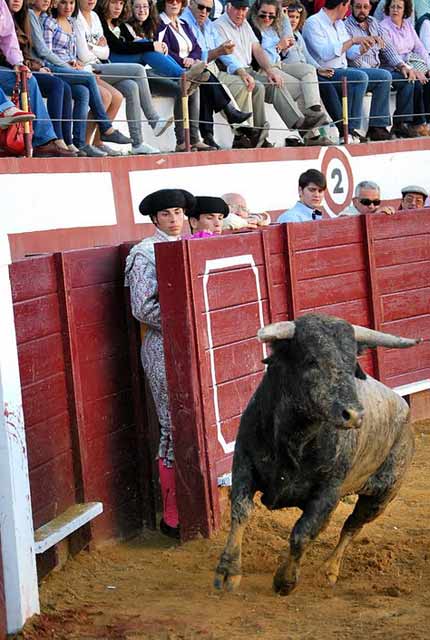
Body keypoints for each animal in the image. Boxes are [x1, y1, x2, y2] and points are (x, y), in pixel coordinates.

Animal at [213, 316, 422, 596]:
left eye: (351, 364)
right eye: (311, 360)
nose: (355, 415)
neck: (295, 435)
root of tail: (403, 407)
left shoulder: (329, 490)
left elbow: (302, 532)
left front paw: (285, 580)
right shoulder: (243, 465)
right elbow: (241, 511)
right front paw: (228, 571)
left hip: (382, 495)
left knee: (352, 525)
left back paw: (329, 570)